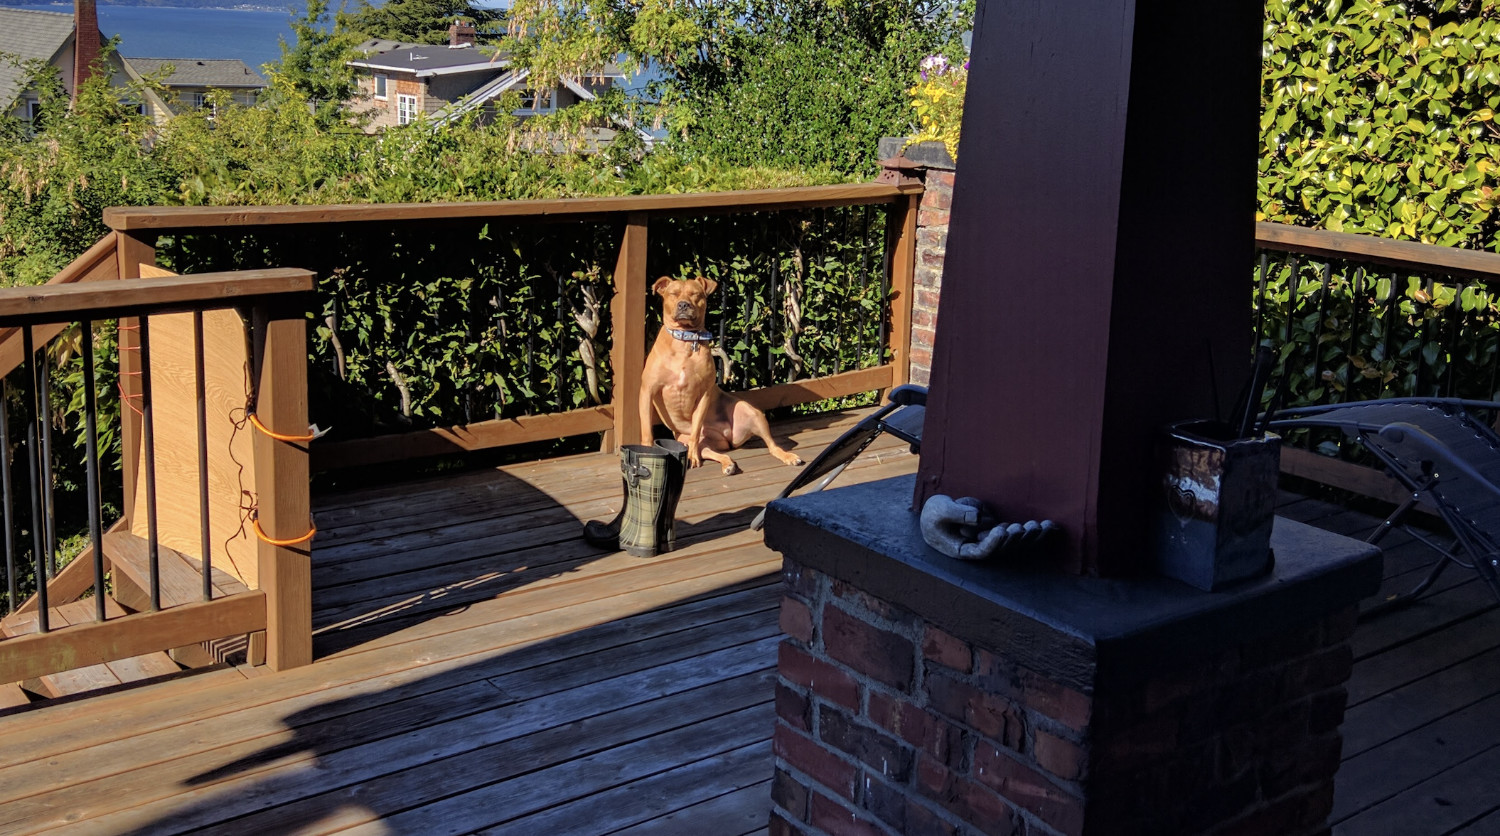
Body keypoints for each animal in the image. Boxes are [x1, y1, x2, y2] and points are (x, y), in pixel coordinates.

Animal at [639, 276, 804, 477]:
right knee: (714, 452)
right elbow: (647, 431)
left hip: (752, 413)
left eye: (696, 294)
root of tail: (728, 440)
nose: (684, 304)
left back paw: (786, 456)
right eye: (674, 294)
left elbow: (696, 430)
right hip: (689, 440)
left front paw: (692, 457)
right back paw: (727, 464)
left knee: (772, 446)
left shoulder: (703, 394)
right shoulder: (647, 391)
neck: (684, 340)